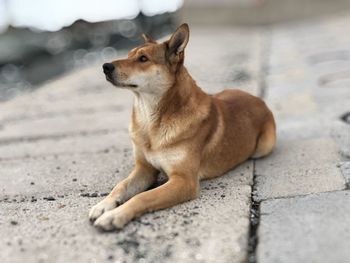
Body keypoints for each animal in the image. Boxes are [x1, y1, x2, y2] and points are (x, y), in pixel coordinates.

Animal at [89, 24, 274, 231]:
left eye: (143, 59)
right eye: (129, 54)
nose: (105, 66)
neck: (151, 120)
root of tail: (258, 99)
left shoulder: (183, 181)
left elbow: (143, 197)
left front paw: (115, 215)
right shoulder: (144, 169)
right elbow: (120, 185)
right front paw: (103, 205)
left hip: (262, 148)